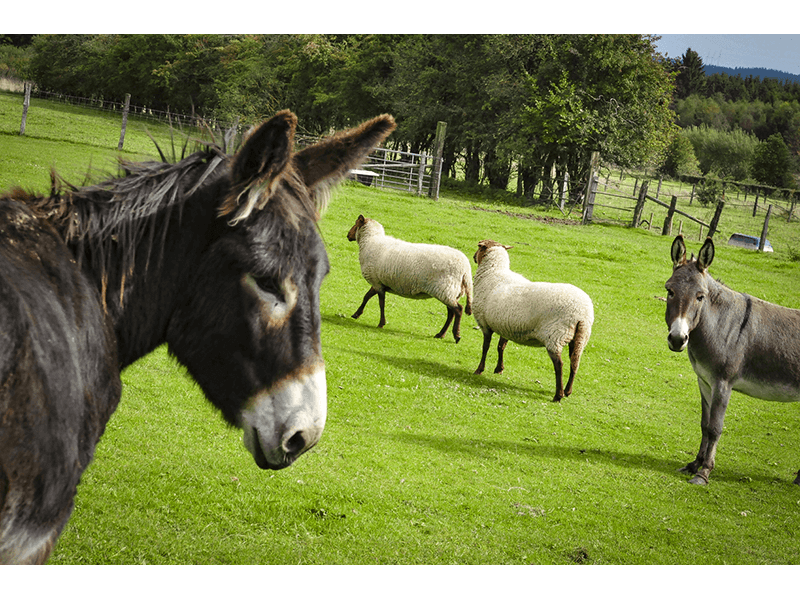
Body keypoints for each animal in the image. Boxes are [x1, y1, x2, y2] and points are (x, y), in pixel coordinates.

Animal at [468, 239, 592, 404]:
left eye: (479, 248)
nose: (474, 257)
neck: (493, 272)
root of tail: (582, 313)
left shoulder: (484, 323)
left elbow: (485, 348)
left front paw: (479, 370)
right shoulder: (505, 325)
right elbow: (501, 347)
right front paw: (499, 369)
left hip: (555, 335)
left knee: (559, 365)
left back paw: (558, 395)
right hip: (579, 337)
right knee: (574, 362)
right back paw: (567, 391)